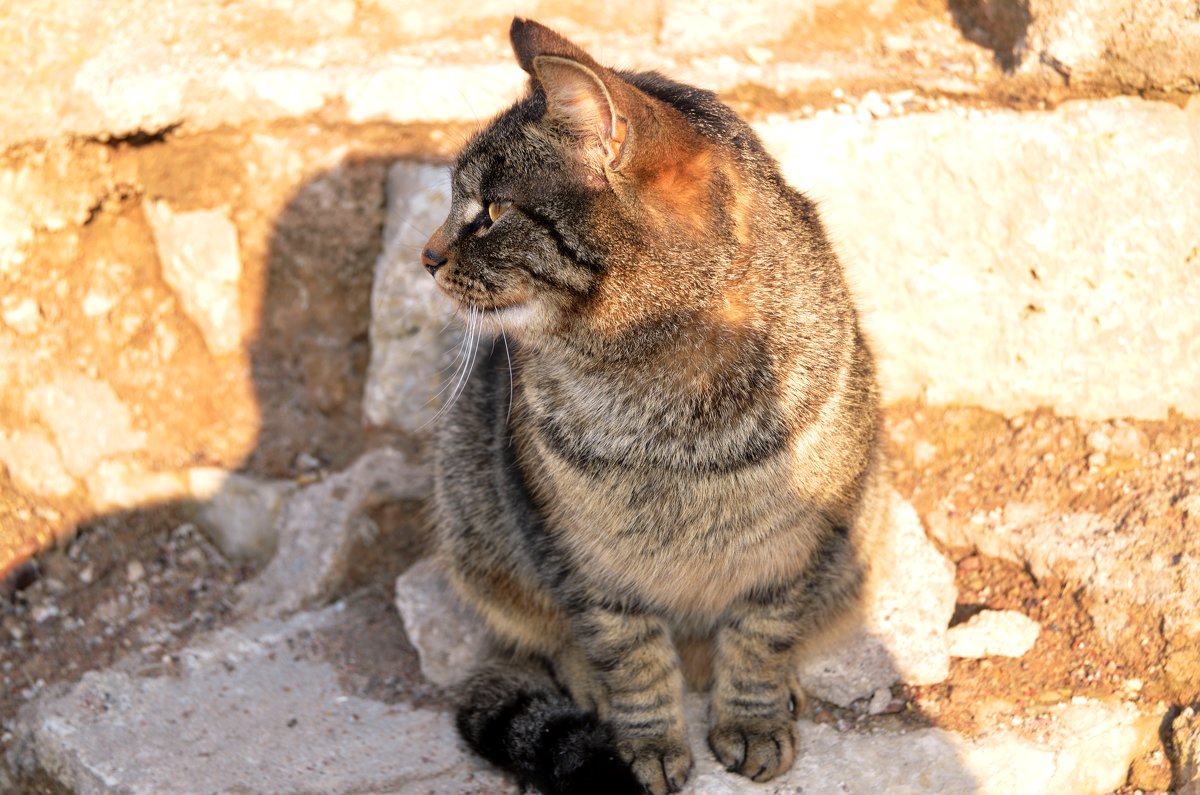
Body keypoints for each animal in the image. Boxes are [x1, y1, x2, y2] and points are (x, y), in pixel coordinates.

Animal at [420, 18, 883, 795]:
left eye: (491, 212)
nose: (426, 256)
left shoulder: (793, 549)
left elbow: (760, 637)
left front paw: (753, 718)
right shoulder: (582, 555)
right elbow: (629, 653)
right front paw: (646, 744)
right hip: (474, 511)